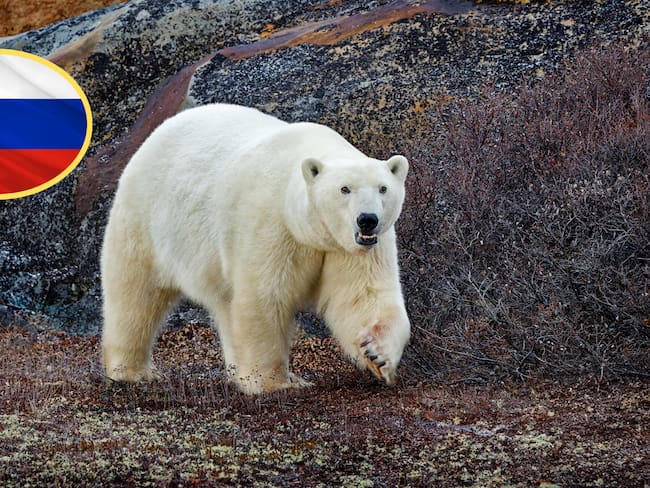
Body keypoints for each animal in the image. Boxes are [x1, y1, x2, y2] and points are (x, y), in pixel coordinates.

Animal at [101, 103, 410, 394]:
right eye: (344, 189)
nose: (368, 219)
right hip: (146, 217)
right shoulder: (272, 223)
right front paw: (275, 383)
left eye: (383, 188)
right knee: (135, 293)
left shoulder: (350, 247)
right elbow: (265, 298)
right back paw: (132, 371)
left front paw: (378, 354)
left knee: (224, 303)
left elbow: (364, 294)